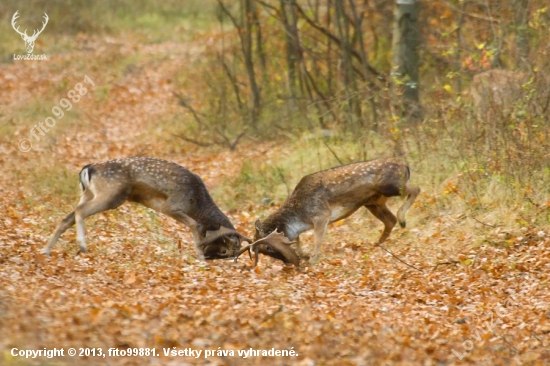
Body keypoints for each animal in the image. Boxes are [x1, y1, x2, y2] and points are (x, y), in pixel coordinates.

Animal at [42, 157, 250, 258]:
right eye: (226, 250)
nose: (210, 255)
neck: (197, 202)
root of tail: (88, 169)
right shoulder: (171, 205)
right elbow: (195, 225)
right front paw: (199, 254)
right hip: (111, 194)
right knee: (80, 212)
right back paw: (82, 246)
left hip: (88, 193)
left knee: (67, 217)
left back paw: (46, 250)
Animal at [237, 157, 422, 266]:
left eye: (267, 248)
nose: (287, 262)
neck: (300, 217)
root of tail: (406, 166)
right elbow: (298, 241)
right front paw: (305, 256)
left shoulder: (321, 214)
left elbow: (317, 241)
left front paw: (312, 260)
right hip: (373, 202)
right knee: (389, 220)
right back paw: (376, 245)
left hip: (391, 186)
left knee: (416, 189)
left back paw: (402, 219)